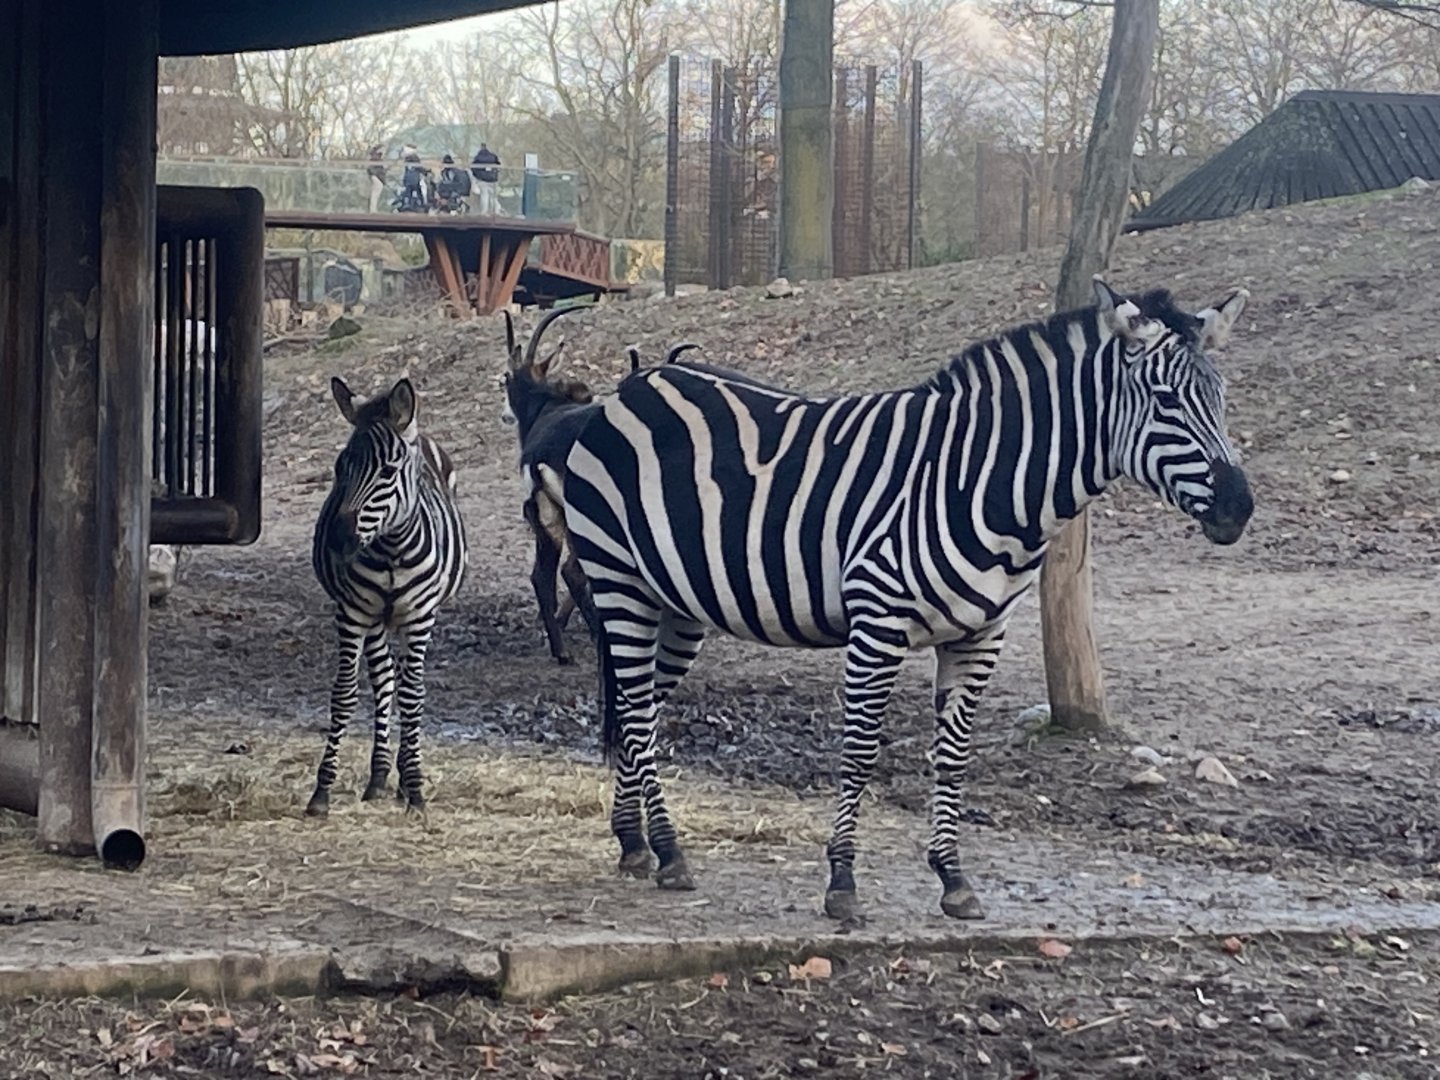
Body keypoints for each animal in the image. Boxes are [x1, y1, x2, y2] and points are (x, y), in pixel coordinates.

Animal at [305, 376, 468, 818]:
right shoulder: (352, 613)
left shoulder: (420, 617)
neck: (392, 547)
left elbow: (414, 698)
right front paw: (321, 790)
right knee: (384, 680)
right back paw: (379, 775)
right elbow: (345, 694)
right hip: (377, 620)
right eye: (339, 469)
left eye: (389, 471)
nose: (339, 540)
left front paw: (415, 789)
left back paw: (402, 774)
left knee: (405, 684)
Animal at [562, 278, 1254, 921]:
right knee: (638, 712)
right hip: (618, 580)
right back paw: (669, 850)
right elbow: (861, 751)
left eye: (1220, 399)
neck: (983, 482)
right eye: (1166, 401)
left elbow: (952, 756)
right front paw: (842, 881)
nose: (1239, 509)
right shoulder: (878, 623)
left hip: (676, 605)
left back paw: (634, 842)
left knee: (642, 709)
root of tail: (638, 383)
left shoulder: (981, 636)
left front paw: (953, 878)